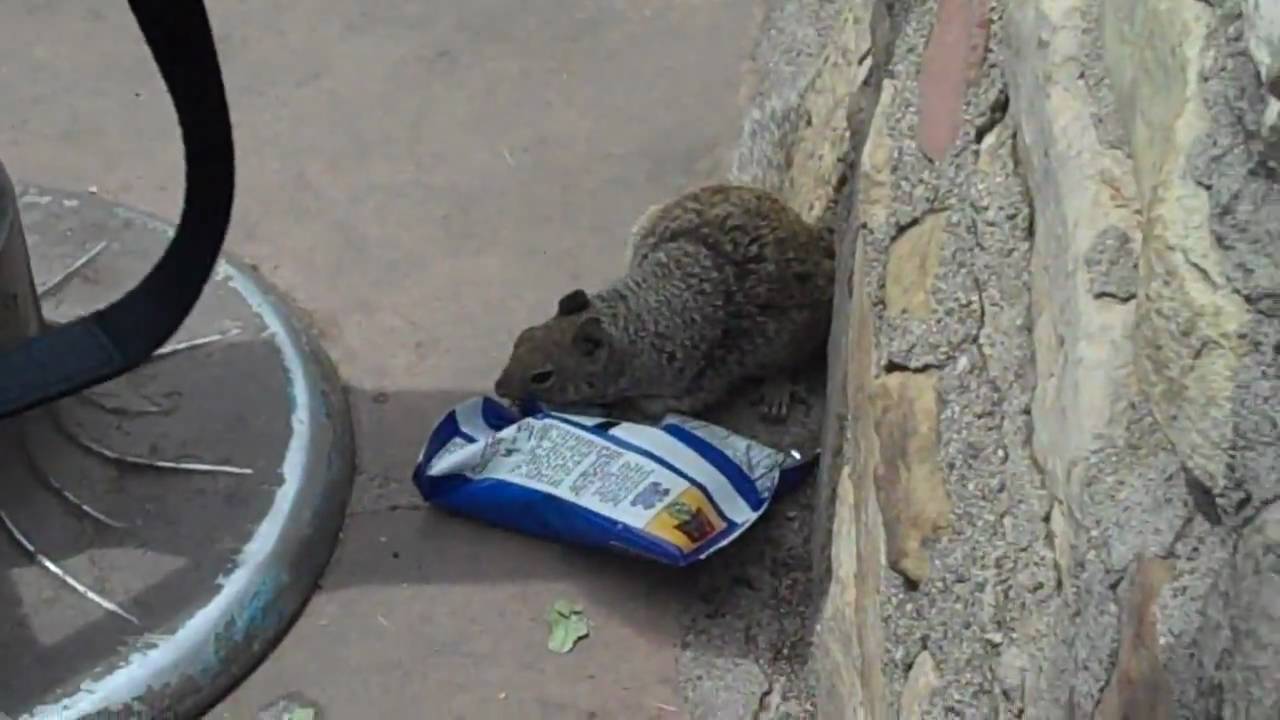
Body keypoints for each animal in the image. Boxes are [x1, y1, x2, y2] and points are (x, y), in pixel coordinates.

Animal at [493, 183, 834, 424]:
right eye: (521, 338)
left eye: (542, 376)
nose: (498, 389)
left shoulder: (688, 386)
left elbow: (649, 406)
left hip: (791, 337)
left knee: (787, 363)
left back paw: (776, 390)